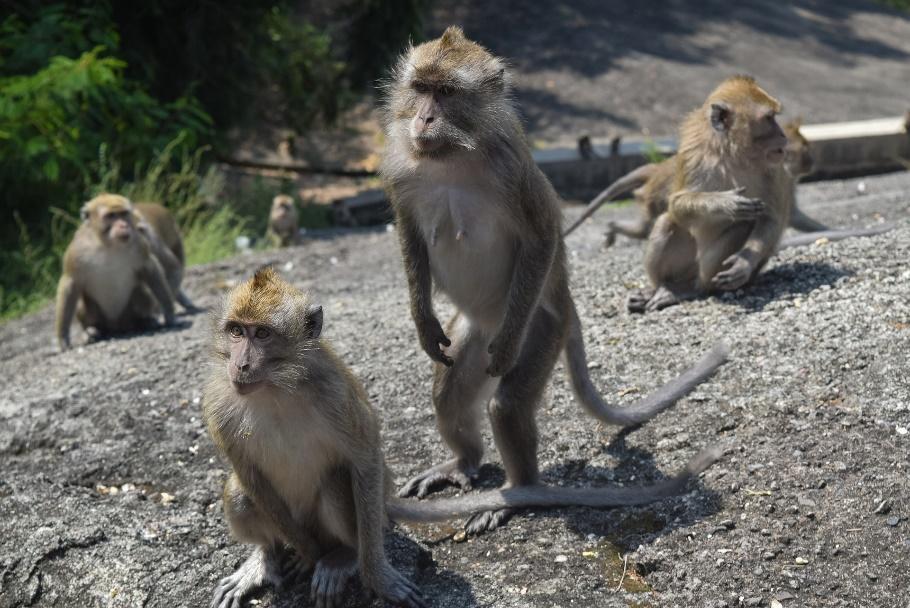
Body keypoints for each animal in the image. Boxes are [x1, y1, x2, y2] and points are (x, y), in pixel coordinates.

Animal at [55, 194, 176, 351]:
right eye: (111, 216)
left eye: (123, 214)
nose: (123, 225)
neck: (108, 244)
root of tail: (116, 326)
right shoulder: (76, 250)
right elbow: (70, 283)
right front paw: (63, 338)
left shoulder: (138, 243)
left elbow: (150, 268)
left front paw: (169, 314)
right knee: (84, 305)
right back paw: (93, 330)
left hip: (127, 314)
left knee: (142, 294)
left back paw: (143, 321)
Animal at [204, 267, 722, 608]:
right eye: (236, 331)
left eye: (262, 335)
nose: (241, 364)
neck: (277, 387)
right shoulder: (219, 402)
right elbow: (247, 471)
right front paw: (293, 557)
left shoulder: (333, 395)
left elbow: (364, 459)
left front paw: (369, 575)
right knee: (243, 492)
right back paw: (271, 557)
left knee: (338, 485)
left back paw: (341, 557)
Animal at [379, 27, 728, 533]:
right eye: (420, 88)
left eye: (445, 93)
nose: (423, 119)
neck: (452, 158)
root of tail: (566, 301)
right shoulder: (399, 168)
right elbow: (409, 233)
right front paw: (423, 323)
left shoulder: (513, 172)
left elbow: (542, 236)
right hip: (475, 332)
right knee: (448, 393)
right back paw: (463, 462)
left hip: (543, 327)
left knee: (506, 404)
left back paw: (518, 492)